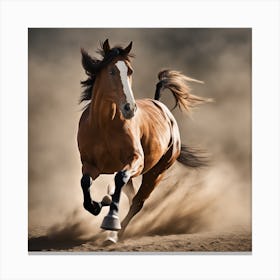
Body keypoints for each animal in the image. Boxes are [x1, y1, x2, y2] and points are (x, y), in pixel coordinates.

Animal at [77, 39, 209, 243]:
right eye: (112, 71)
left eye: (130, 71)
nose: (129, 108)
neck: (104, 125)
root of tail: (163, 109)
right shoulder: (91, 165)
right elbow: (85, 184)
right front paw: (98, 204)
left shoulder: (136, 161)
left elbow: (120, 179)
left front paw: (110, 221)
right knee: (129, 195)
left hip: (156, 173)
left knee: (137, 201)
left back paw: (116, 233)